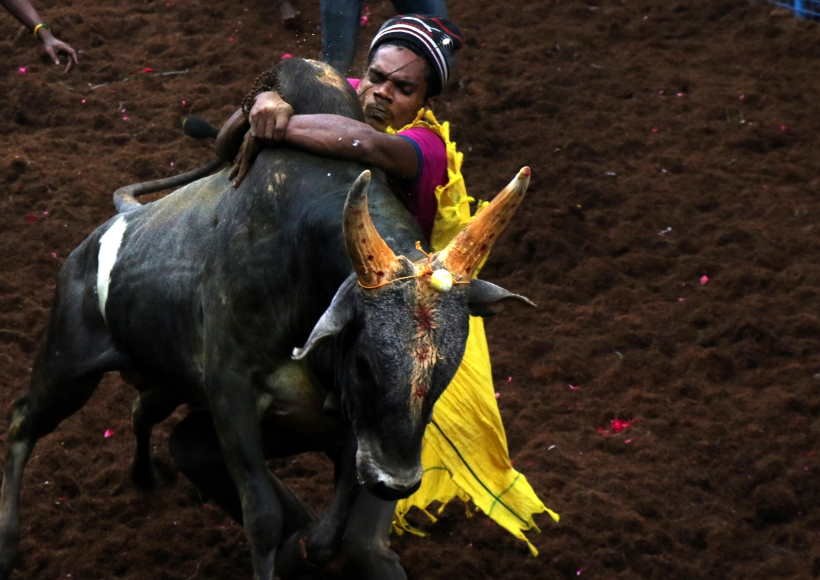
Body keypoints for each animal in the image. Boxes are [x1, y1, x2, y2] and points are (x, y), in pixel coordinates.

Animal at [0, 60, 532, 580]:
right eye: (365, 362)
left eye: (446, 368)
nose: (395, 482)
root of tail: (111, 227)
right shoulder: (231, 393)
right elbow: (263, 516)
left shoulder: (348, 421)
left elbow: (335, 515)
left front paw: (309, 545)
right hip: (68, 369)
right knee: (23, 422)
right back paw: (9, 538)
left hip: (162, 379)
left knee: (140, 411)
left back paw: (146, 477)